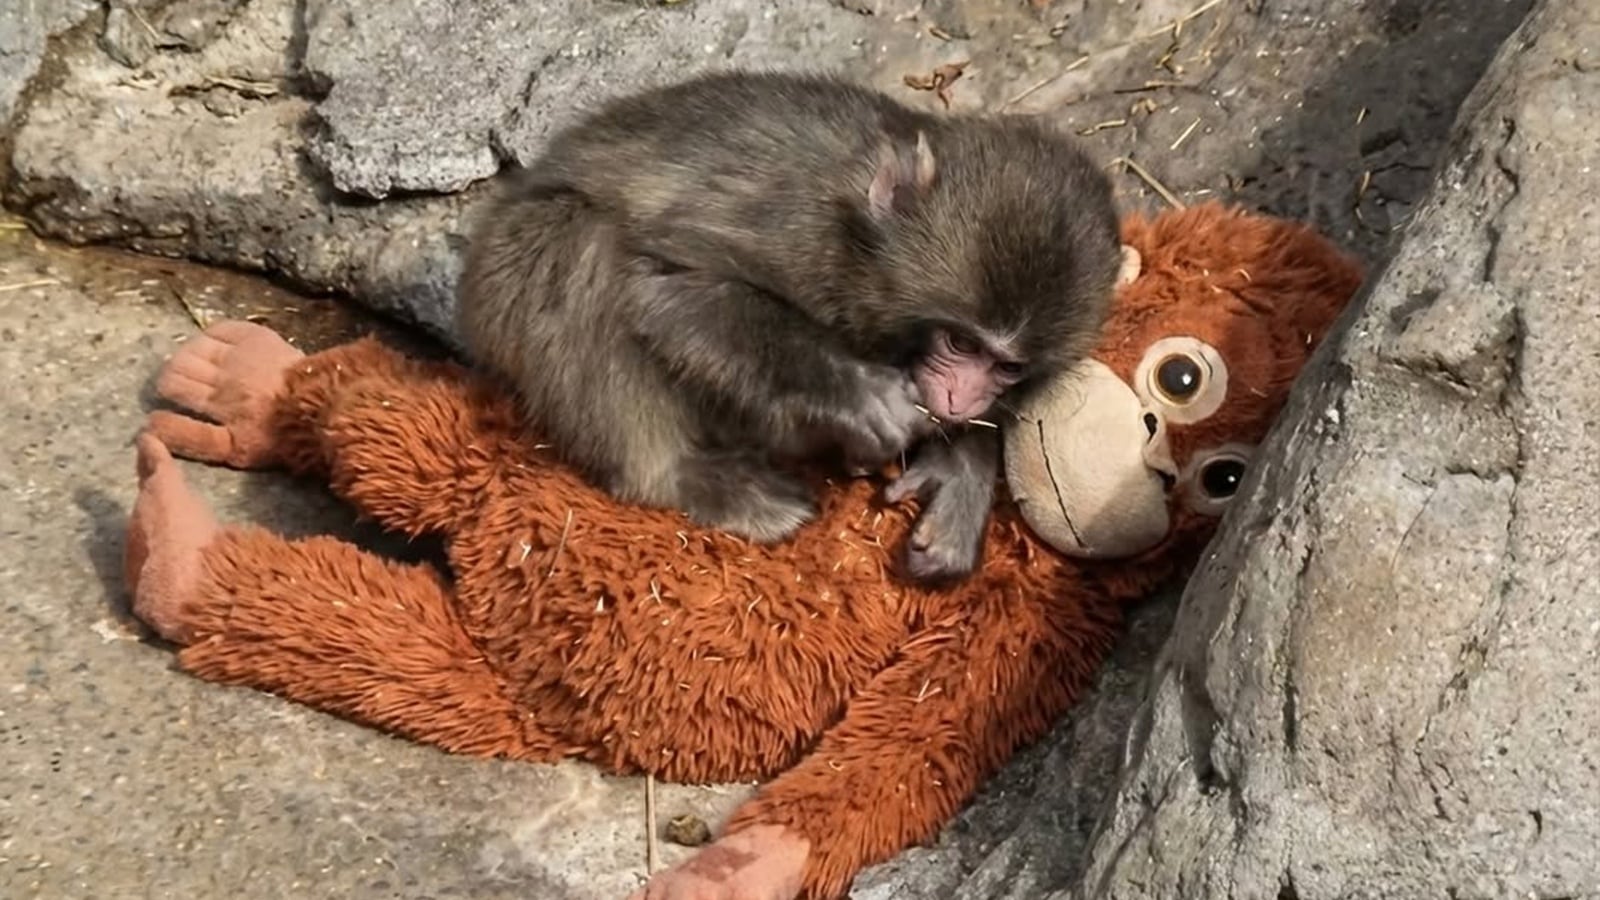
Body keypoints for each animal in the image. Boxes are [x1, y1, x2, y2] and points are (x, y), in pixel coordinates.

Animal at [456, 69, 1121, 582]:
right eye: (960, 341)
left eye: (1006, 366)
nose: (963, 397)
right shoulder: (794, 225)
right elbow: (667, 286)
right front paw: (862, 395)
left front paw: (960, 475)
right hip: (502, 279)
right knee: (580, 240)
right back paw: (679, 478)